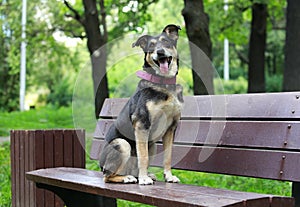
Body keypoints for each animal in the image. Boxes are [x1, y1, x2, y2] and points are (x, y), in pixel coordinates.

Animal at [99, 23, 183, 184]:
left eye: (166, 42)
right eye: (151, 46)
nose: (160, 52)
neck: (163, 83)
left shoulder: (171, 128)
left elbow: (168, 156)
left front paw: (168, 176)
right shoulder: (142, 124)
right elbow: (143, 157)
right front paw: (144, 180)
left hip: (153, 145)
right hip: (122, 144)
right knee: (107, 177)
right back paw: (128, 178)